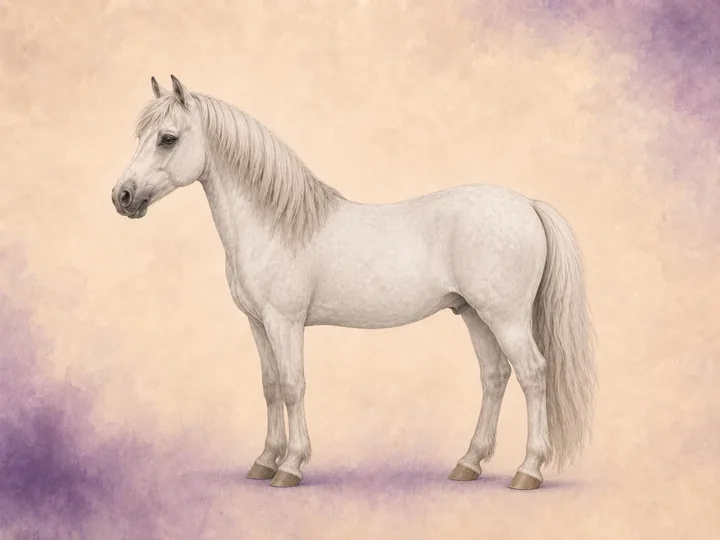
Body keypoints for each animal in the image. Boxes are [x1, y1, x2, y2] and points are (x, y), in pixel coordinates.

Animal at [111, 75, 597, 489]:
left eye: (168, 138)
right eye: (141, 136)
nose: (122, 197)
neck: (277, 225)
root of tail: (526, 205)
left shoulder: (284, 321)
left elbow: (293, 386)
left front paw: (290, 466)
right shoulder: (258, 323)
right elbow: (270, 387)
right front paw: (264, 461)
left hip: (506, 318)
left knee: (533, 374)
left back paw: (528, 471)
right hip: (474, 314)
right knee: (495, 377)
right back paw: (468, 464)